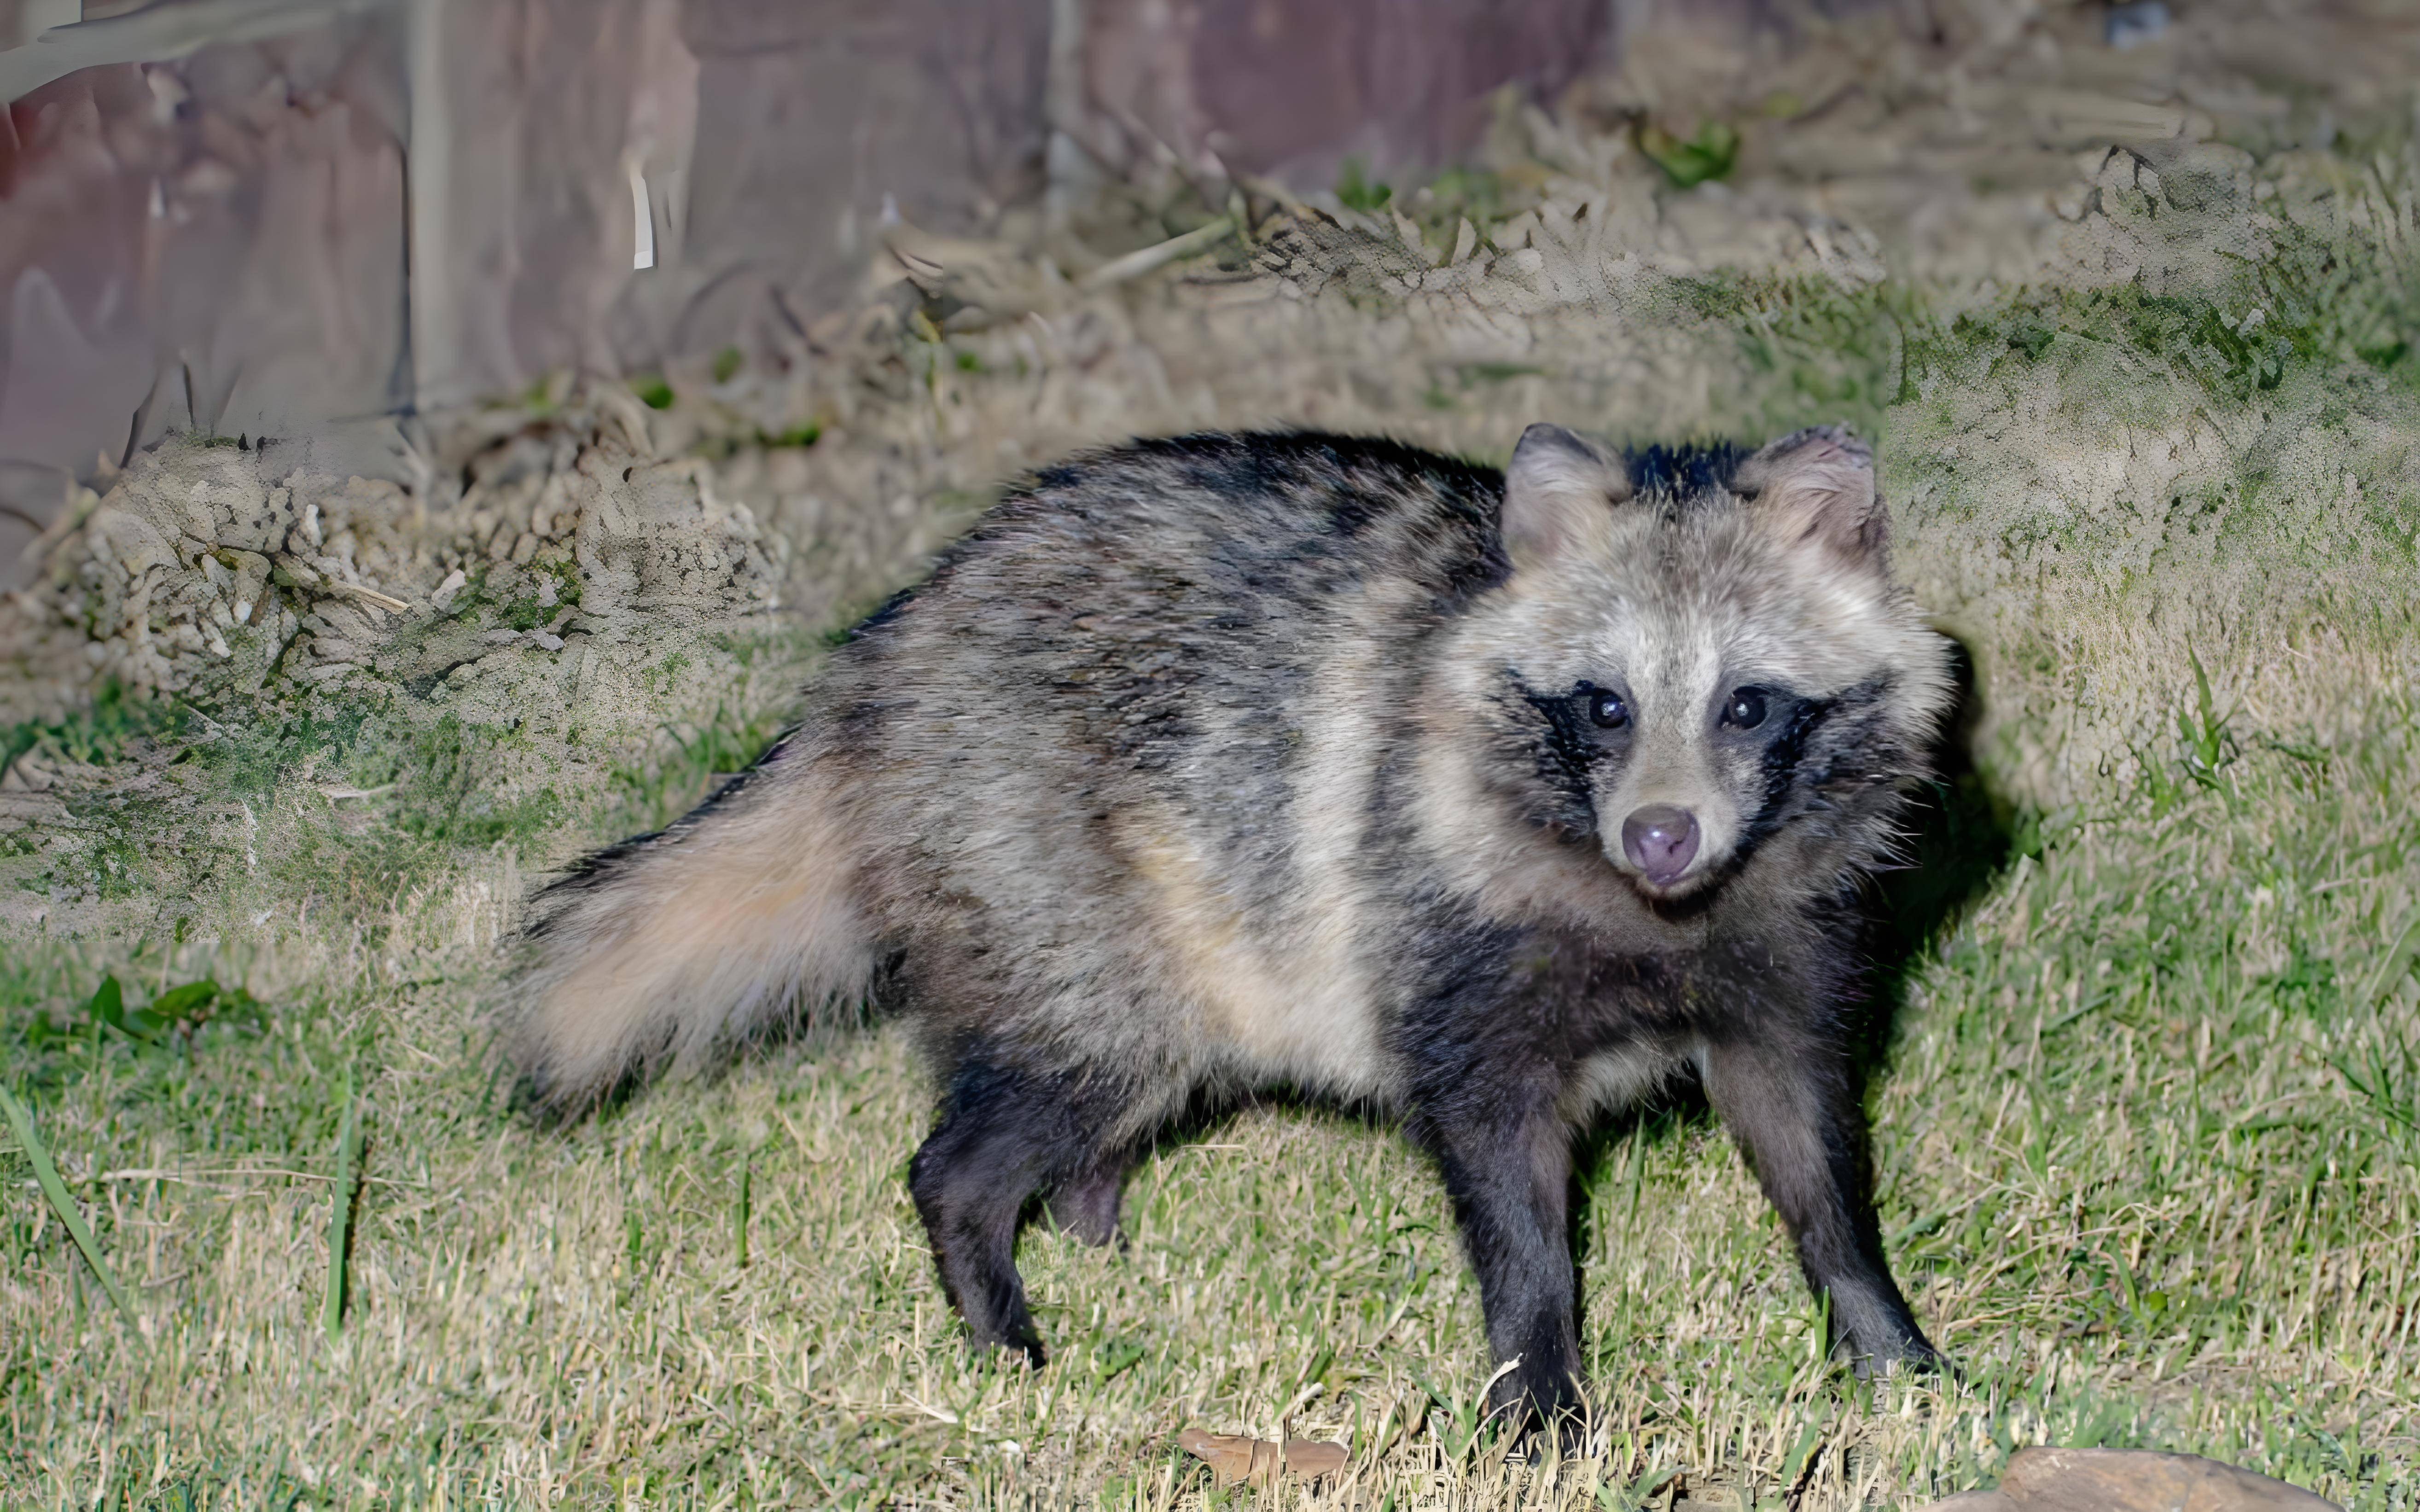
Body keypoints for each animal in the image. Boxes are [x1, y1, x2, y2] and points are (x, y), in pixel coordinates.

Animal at [511, 421, 1945, 1422]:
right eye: (1604, 705)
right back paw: (997, 1291)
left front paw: (1882, 1335)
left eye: (1745, 704)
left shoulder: (1787, 941)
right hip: (1039, 869)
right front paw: (1538, 1393)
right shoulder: (1446, 937)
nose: (1660, 836)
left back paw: (1092, 1222)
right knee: (1043, 1092)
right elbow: (1508, 1188)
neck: (1660, 918)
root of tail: (877, 663)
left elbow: (1807, 1142)